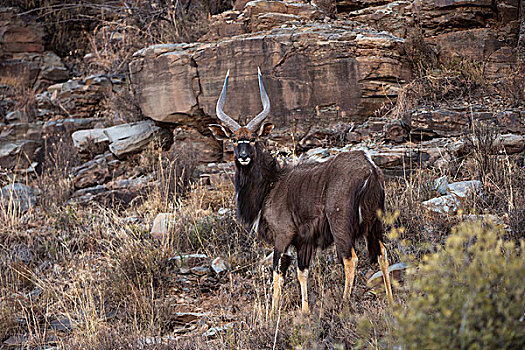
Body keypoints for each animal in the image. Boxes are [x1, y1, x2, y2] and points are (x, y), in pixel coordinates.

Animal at [209, 67, 392, 312]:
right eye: (234, 139)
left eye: (254, 138)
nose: (244, 156)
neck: (271, 185)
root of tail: (369, 168)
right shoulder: (304, 242)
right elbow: (302, 272)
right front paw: (305, 311)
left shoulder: (283, 236)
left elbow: (278, 272)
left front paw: (273, 313)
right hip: (375, 224)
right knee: (383, 254)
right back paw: (391, 301)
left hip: (341, 225)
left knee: (350, 258)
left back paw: (344, 305)